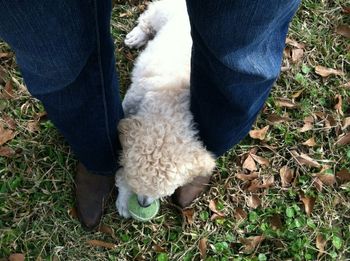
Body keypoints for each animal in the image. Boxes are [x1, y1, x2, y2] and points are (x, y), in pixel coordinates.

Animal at [116, 0, 215, 216]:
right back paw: (138, 35)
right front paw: (124, 197)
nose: (144, 204)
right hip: (163, 11)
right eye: (139, 184)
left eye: (164, 191)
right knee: (148, 16)